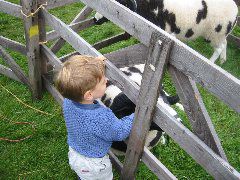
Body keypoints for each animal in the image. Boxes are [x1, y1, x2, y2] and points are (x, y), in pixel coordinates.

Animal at [95, 0, 238, 64]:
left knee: (219, 48)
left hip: (215, 33)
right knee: (224, 44)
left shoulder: (165, 33)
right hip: (220, 34)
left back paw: (211, 62)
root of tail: (236, 10)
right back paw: (223, 60)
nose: (95, 20)